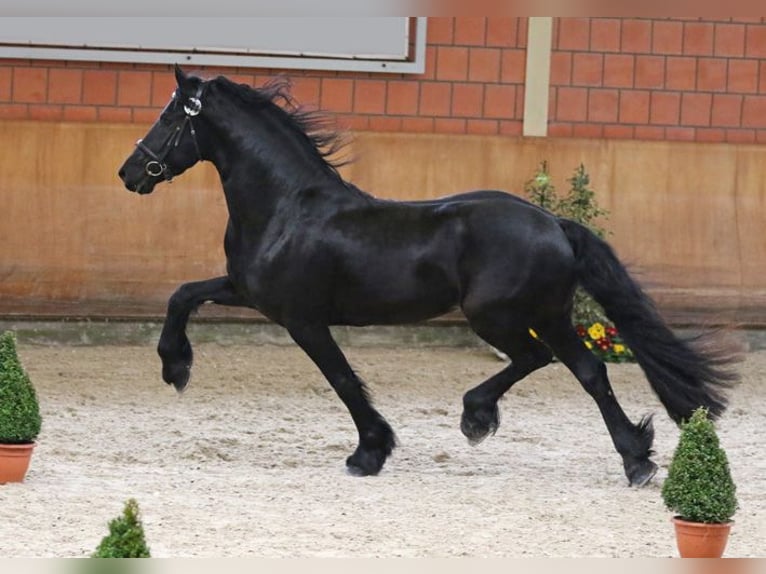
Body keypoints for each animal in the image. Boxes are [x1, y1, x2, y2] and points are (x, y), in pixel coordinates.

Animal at [118, 67, 736, 488]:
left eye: (170, 117)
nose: (129, 173)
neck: (287, 206)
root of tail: (554, 223)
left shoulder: (302, 319)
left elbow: (343, 380)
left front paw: (369, 453)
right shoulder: (248, 292)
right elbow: (182, 295)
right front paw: (175, 368)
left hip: (502, 315)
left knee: (557, 361)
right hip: (540, 314)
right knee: (574, 366)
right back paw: (621, 454)